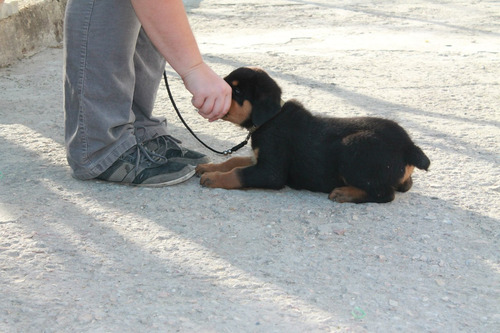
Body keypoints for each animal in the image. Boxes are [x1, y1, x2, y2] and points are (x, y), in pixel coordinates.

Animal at [195, 67, 430, 202]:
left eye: (237, 91)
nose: (211, 93)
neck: (270, 119)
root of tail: (409, 147)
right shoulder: (258, 158)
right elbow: (233, 161)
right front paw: (209, 167)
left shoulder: (271, 171)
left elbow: (238, 173)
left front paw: (212, 177)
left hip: (353, 147)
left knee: (385, 194)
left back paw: (344, 193)